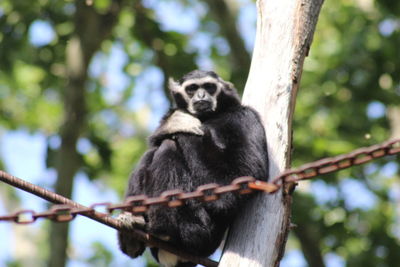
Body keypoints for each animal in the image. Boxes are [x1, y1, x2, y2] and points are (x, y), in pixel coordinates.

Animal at [118, 70, 268, 266]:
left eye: (209, 87)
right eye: (192, 88)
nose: (201, 95)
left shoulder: (245, 117)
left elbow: (243, 177)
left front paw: (181, 123)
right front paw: (173, 122)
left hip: (198, 228)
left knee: (168, 147)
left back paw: (163, 231)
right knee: (152, 153)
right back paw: (132, 236)